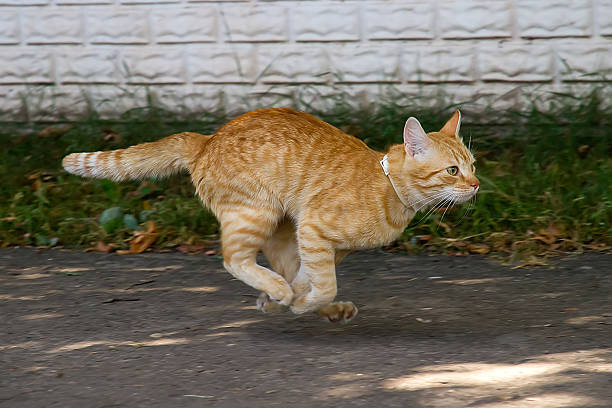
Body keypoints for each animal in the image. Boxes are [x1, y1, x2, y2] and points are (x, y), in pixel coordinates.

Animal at [62, 108, 476, 322]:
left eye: (472, 165)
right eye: (452, 170)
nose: (475, 185)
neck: (388, 187)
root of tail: (207, 139)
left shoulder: (321, 245)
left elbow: (310, 279)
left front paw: (298, 302)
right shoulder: (313, 229)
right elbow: (323, 284)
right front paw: (299, 302)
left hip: (281, 228)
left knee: (280, 268)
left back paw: (288, 300)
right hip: (256, 214)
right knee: (235, 259)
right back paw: (278, 292)